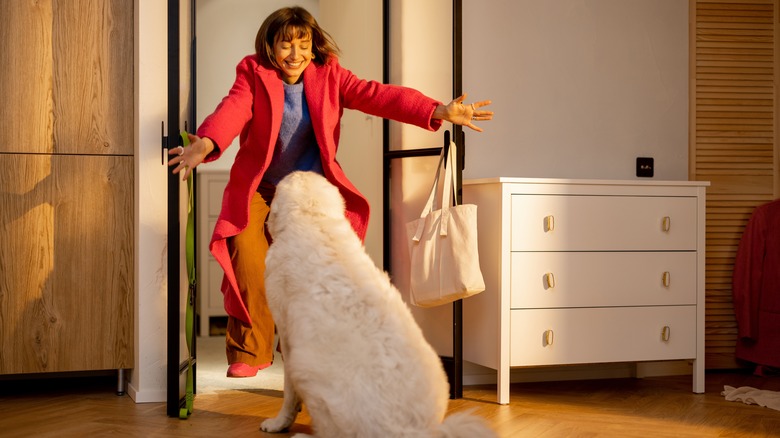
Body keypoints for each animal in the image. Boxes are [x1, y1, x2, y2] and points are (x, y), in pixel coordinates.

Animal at [258, 172, 496, 438]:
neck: (314, 219)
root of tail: (414, 430)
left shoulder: (287, 335)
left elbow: (289, 393)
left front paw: (279, 423)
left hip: (306, 364)